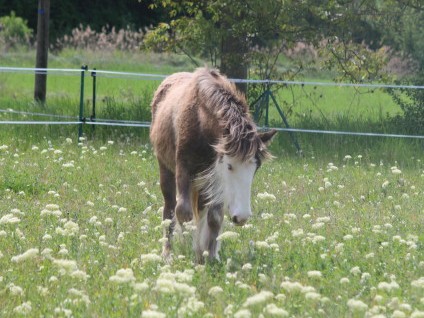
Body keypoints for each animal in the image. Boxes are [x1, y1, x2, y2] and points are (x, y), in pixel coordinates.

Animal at [151, 66, 276, 262]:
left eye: (256, 168)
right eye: (229, 166)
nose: (242, 217)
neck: (200, 119)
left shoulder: (214, 179)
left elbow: (215, 217)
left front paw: (208, 256)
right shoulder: (184, 169)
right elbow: (183, 212)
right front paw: (186, 248)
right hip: (166, 169)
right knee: (170, 208)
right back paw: (167, 252)